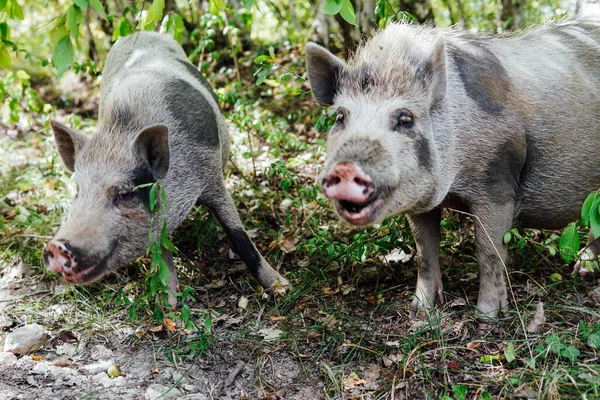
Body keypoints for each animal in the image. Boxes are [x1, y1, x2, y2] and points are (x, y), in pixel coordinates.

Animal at [43, 32, 288, 300]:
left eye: (124, 193)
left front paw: (282, 287)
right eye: (78, 191)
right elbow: (162, 250)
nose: (55, 246)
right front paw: (170, 300)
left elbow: (238, 235)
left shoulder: (212, 175)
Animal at [308, 21, 600, 318]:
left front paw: (486, 316)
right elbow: (424, 248)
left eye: (405, 118)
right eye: (341, 116)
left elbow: (489, 251)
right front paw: (420, 310)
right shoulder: (421, 201)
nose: (346, 167)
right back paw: (583, 272)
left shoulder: (497, 184)